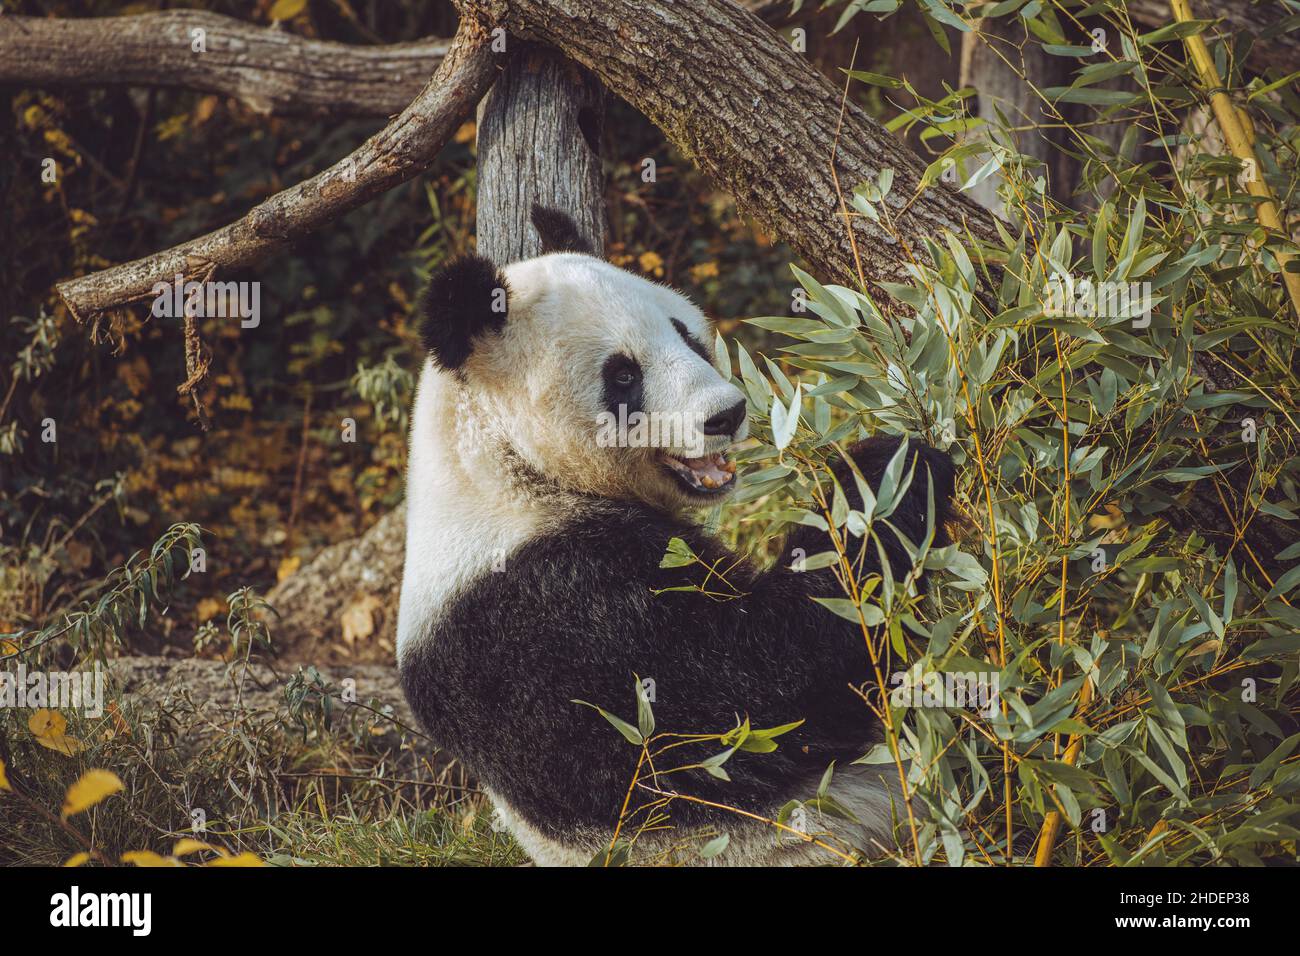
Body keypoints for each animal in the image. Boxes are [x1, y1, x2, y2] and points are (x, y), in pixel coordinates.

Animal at [397, 205, 957, 866]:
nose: (727, 414)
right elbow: (767, 685)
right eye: (622, 375)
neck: (503, 466)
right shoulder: (549, 611)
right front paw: (891, 469)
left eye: (686, 334)